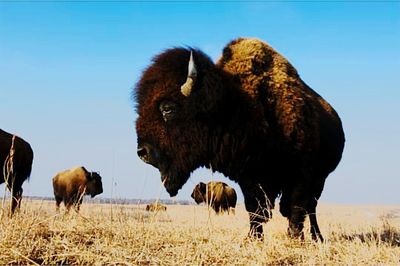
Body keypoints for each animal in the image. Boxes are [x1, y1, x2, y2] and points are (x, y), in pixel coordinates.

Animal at [135, 37, 344, 241]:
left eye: (168, 108)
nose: (142, 152)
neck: (239, 105)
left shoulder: (300, 174)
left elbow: (295, 207)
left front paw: (294, 238)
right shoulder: (249, 177)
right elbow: (255, 210)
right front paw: (253, 238)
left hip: (320, 178)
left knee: (311, 208)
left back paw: (316, 237)